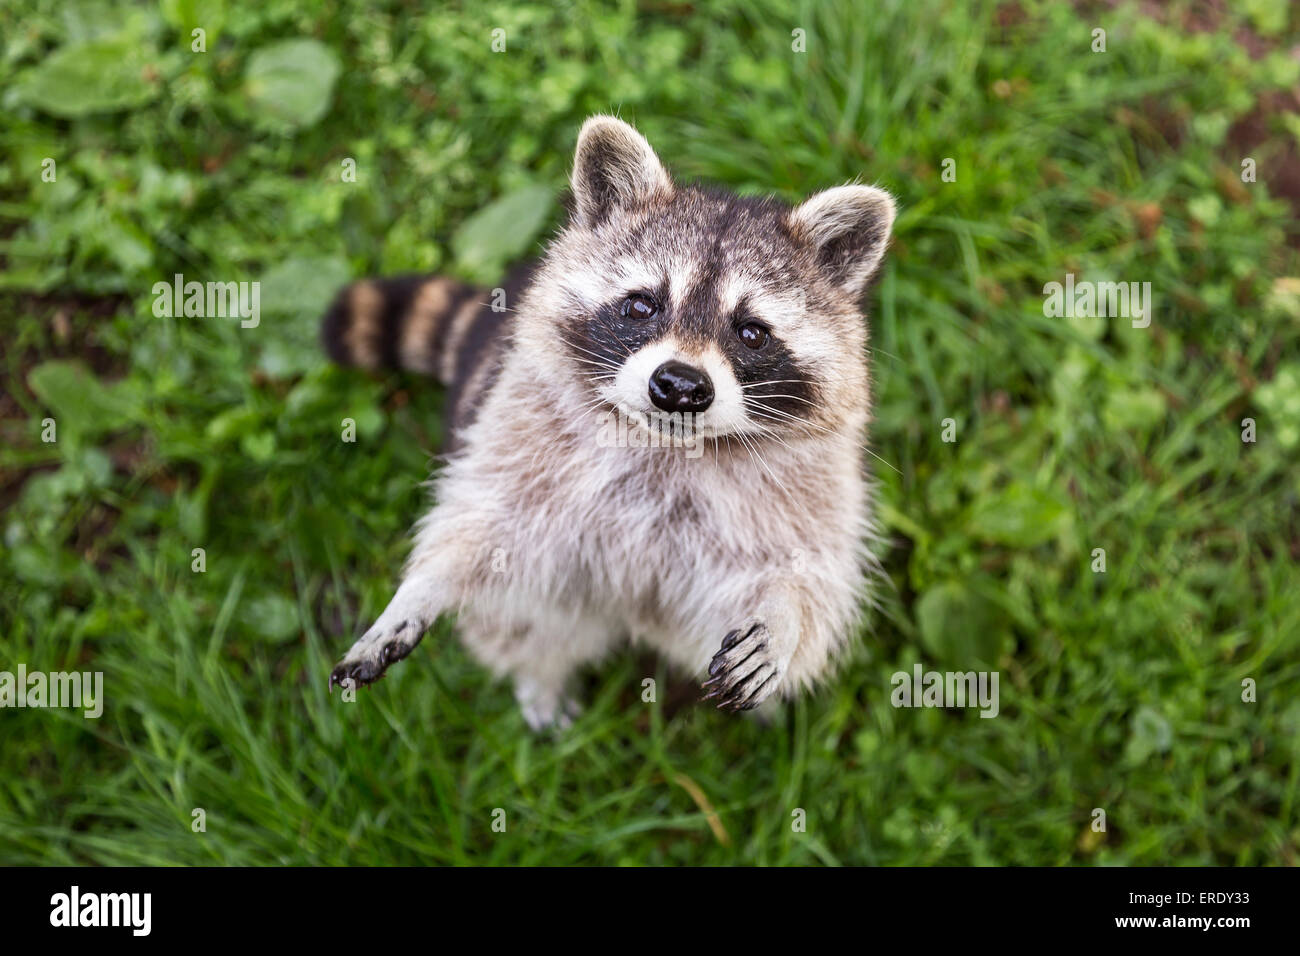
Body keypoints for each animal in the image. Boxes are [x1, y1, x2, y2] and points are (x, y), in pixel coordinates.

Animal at [323, 115, 894, 728]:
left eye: (752, 332)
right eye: (643, 305)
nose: (680, 386)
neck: (667, 447)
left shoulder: (817, 480)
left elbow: (811, 570)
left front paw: (782, 618)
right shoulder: (519, 430)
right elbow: (481, 523)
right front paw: (423, 585)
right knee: (522, 626)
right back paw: (539, 679)